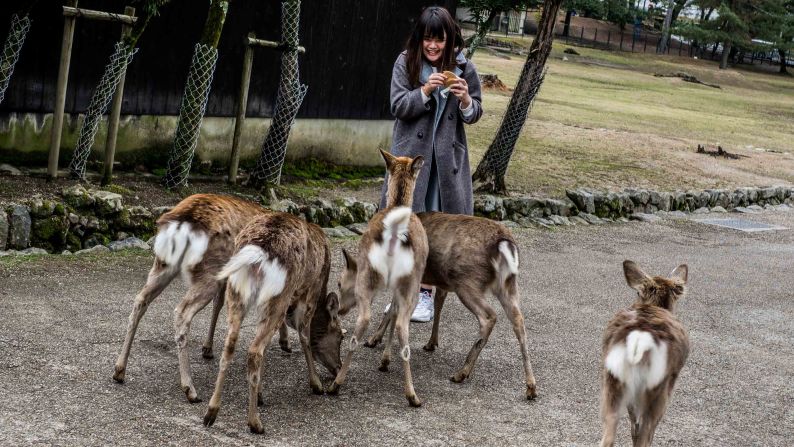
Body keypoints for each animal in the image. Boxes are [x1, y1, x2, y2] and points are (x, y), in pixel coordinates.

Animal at [111, 194, 340, 404]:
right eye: (339, 334)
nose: (337, 368)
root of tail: (182, 222)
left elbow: (218, 305)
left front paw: (208, 348)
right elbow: (300, 330)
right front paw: (314, 381)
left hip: (164, 264)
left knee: (140, 300)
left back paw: (119, 370)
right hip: (210, 269)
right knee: (182, 311)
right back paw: (190, 389)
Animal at [201, 213, 340, 434]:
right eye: (341, 335)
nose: (339, 368)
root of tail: (257, 253)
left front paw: (260, 395)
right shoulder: (312, 289)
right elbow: (304, 336)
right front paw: (316, 384)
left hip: (237, 292)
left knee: (231, 345)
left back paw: (211, 412)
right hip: (279, 295)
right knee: (254, 350)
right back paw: (255, 422)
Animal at [328, 150, 426, 410]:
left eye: (339, 283)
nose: (340, 309)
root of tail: (394, 234)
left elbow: (389, 312)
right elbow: (392, 312)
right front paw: (383, 359)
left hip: (374, 278)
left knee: (369, 321)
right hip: (410, 282)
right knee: (400, 326)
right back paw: (411, 395)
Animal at [352, 212, 540, 400]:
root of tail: (504, 243)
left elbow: (392, 309)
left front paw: (375, 343)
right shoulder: (440, 284)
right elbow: (437, 305)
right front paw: (431, 343)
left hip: (466, 280)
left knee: (489, 316)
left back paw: (461, 373)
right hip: (508, 284)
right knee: (518, 320)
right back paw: (531, 386)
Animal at [600, 260, 688, 446]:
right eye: (638, 292)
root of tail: (640, 339)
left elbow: (633, 425)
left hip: (613, 380)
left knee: (610, 434)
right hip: (658, 389)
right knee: (646, 432)